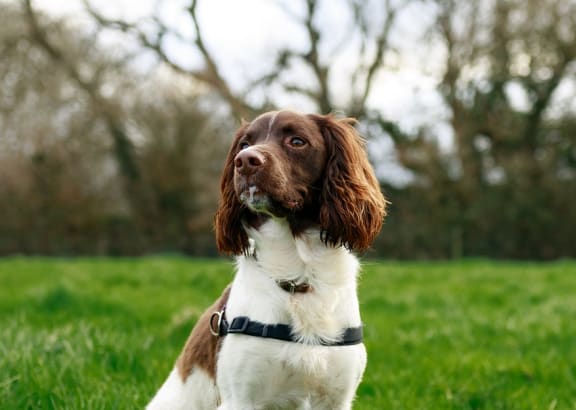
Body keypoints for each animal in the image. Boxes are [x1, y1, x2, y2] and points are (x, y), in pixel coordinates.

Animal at [146, 110, 388, 408]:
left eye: (297, 141)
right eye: (244, 144)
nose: (245, 161)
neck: (299, 278)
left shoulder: (336, 398)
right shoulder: (242, 398)